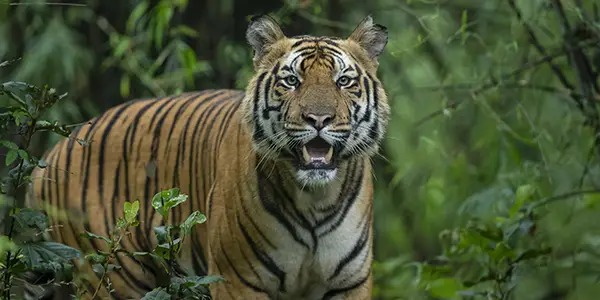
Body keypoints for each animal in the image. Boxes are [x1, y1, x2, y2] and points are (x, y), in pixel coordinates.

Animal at [24, 14, 390, 300]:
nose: (318, 119)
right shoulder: (237, 280)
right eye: (291, 81)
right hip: (108, 273)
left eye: (343, 81)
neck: (316, 198)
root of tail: (54, 152)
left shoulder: (350, 283)